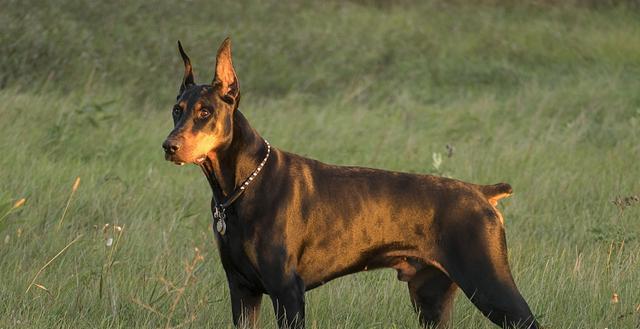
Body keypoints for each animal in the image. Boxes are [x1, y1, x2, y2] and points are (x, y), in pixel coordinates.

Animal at [162, 39, 536, 328]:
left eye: (205, 112)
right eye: (176, 109)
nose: (169, 146)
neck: (240, 187)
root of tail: (482, 193)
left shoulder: (287, 291)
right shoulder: (242, 290)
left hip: (490, 285)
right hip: (431, 296)